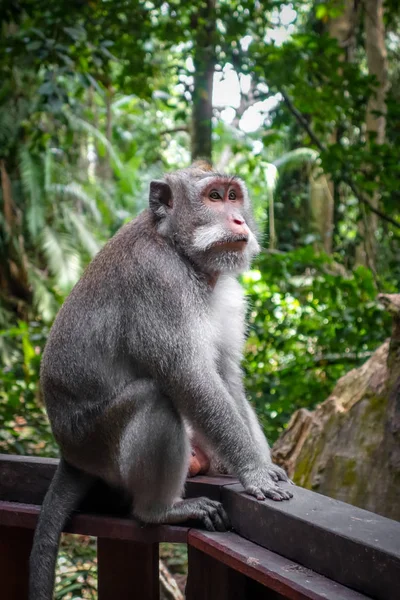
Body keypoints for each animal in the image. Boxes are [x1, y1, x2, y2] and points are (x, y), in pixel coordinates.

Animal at [29, 162, 292, 596]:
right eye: (213, 197)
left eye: (234, 196)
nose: (239, 220)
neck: (179, 251)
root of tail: (69, 453)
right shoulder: (158, 282)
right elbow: (189, 378)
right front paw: (254, 472)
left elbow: (225, 376)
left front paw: (256, 465)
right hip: (96, 445)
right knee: (153, 398)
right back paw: (159, 511)